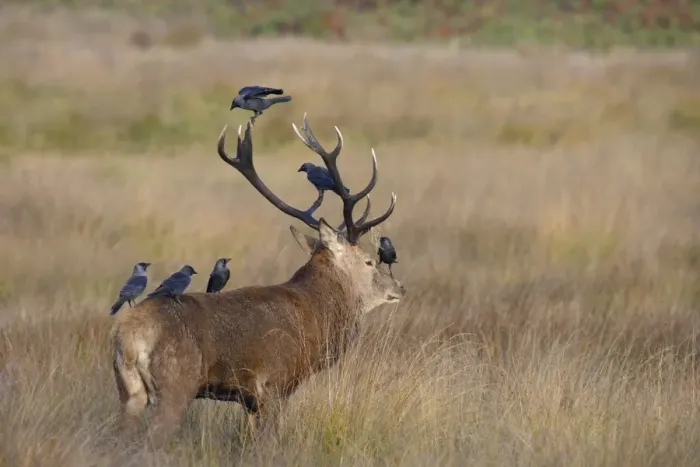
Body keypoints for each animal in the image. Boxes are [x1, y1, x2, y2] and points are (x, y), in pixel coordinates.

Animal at [110, 113, 406, 448]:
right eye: (369, 261)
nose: (399, 288)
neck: (316, 315)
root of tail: (127, 336)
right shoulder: (274, 383)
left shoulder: (249, 399)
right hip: (176, 382)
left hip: (129, 392)